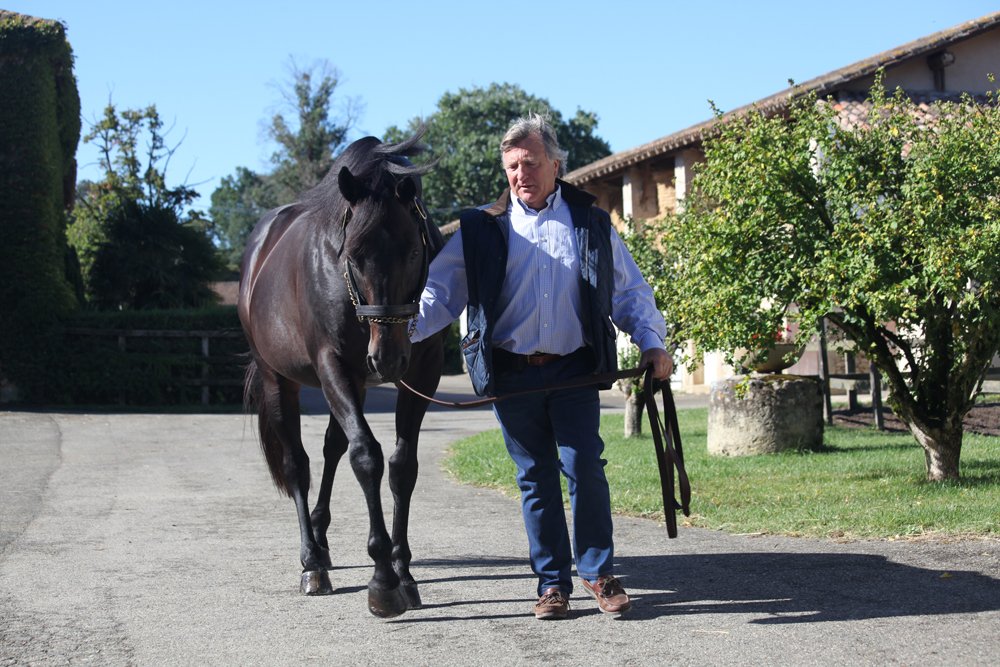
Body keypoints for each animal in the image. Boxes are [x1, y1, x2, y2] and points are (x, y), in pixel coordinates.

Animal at [238, 133, 442, 620]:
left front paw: (403, 571)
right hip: (280, 379)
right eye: (353, 254)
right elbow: (365, 455)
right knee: (297, 464)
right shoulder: (333, 365)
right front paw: (383, 580)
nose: (388, 358)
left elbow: (402, 466)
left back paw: (322, 537)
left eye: (414, 249)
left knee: (332, 448)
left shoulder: (423, 373)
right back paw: (312, 562)